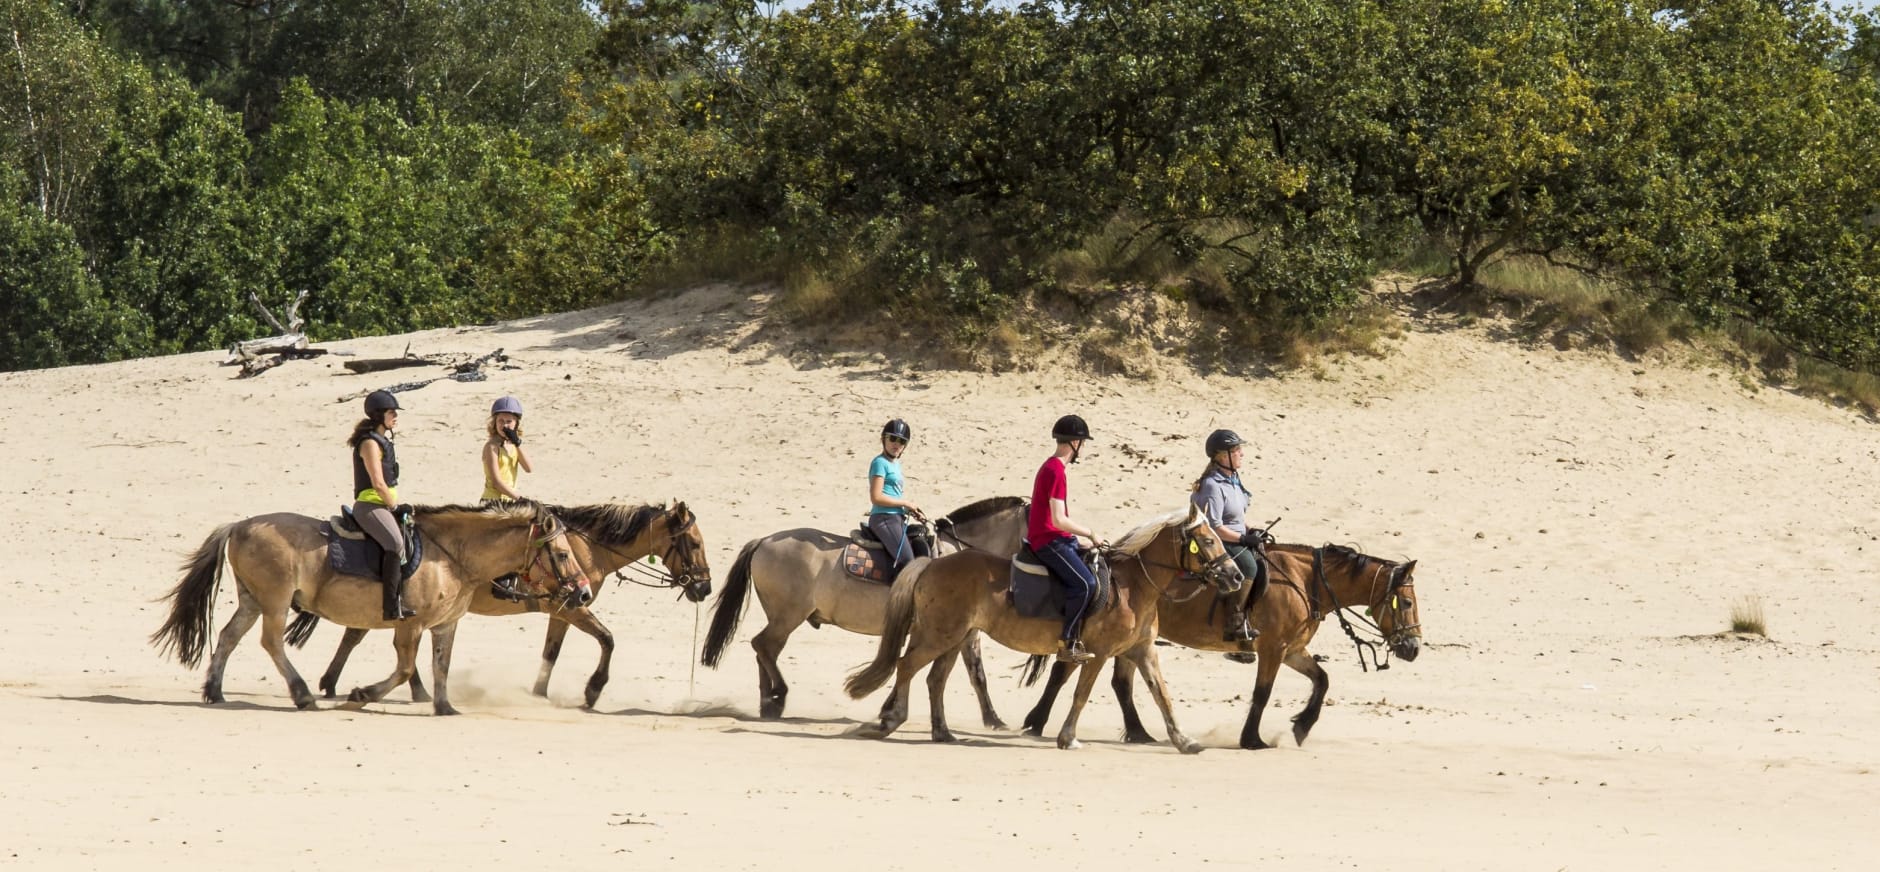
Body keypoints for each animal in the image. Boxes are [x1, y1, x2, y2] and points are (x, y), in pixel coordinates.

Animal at [150, 499, 597, 710]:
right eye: (561, 554)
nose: (584, 594)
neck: (450, 555)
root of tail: (240, 525)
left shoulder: (445, 625)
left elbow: (441, 664)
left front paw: (445, 707)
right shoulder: (409, 625)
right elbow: (405, 669)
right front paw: (362, 693)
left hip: (252, 600)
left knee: (229, 637)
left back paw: (215, 690)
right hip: (274, 602)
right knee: (271, 643)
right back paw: (302, 694)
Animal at [285, 499, 710, 710]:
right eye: (694, 543)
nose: (704, 587)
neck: (583, 547)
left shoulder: (564, 608)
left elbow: (551, 652)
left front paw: (538, 694)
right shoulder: (572, 607)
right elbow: (607, 639)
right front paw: (592, 690)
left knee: (360, 633)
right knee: (363, 634)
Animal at [703, 492, 1030, 725]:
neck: (960, 555)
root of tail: (764, 540)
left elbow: (967, 672)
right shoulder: (961, 630)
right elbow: (971, 673)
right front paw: (994, 720)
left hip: (781, 617)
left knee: (765, 650)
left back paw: (768, 702)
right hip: (787, 616)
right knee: (763, 646)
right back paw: (778, 696)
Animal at [846, 507, 1240, 751]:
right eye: (1208, 541)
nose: (1235, 576)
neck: (1133, 585)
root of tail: (932, 563)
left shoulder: (1143, 650)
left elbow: (1163, 695)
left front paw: (1184, 741)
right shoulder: (1098, 653)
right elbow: (1081, 693)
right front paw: (1067, 737)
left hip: (954, 637)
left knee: (934, 679)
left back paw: (941, 731)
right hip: (937, 635)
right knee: (907, 667)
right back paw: (889, 720)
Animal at [1022, 541, 1413, 744]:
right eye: (1407, 603)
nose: (1413, 647)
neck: (1304, 581)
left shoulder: (1292, 650)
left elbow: (1322, 679)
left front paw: (1301, 727)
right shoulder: (1272, 650)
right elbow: (1262, 693)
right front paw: (1252, 739)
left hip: (1130, 641)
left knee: (1118, 683)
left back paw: (1138, 732)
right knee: (1065, 672)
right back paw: (1037, 721)